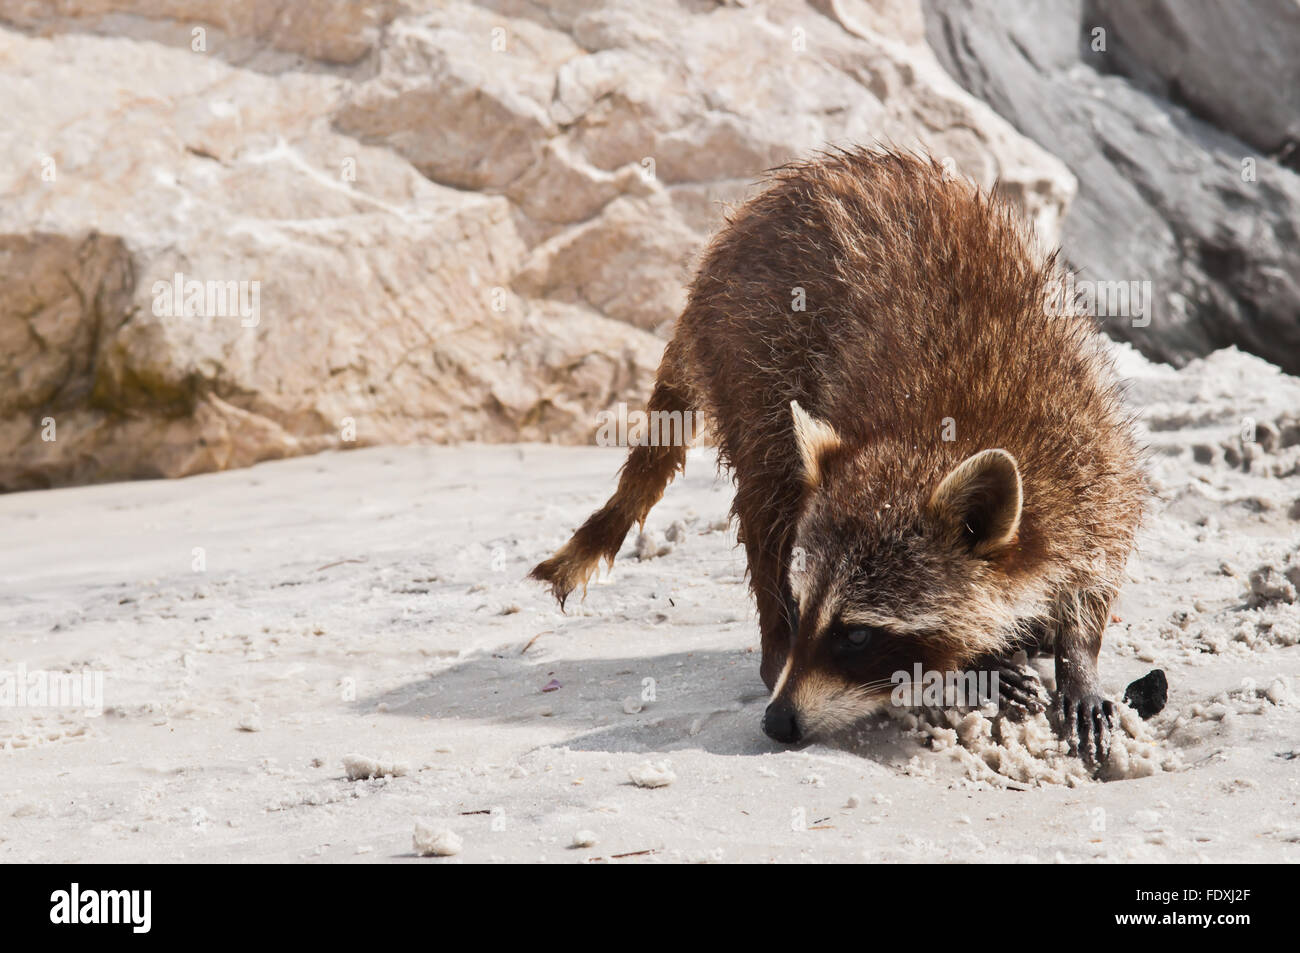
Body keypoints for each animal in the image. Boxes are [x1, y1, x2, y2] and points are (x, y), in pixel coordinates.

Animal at [527, 152, 1149, 769]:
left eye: (856, 636)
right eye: (804, 610)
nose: (777, 723)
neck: (936, 441)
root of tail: (729, 236)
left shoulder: (1094, 456)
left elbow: (1099, 564)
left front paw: (1079, 657)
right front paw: (976, 665)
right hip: (749, 350)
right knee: (768, 496)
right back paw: (773, 648)